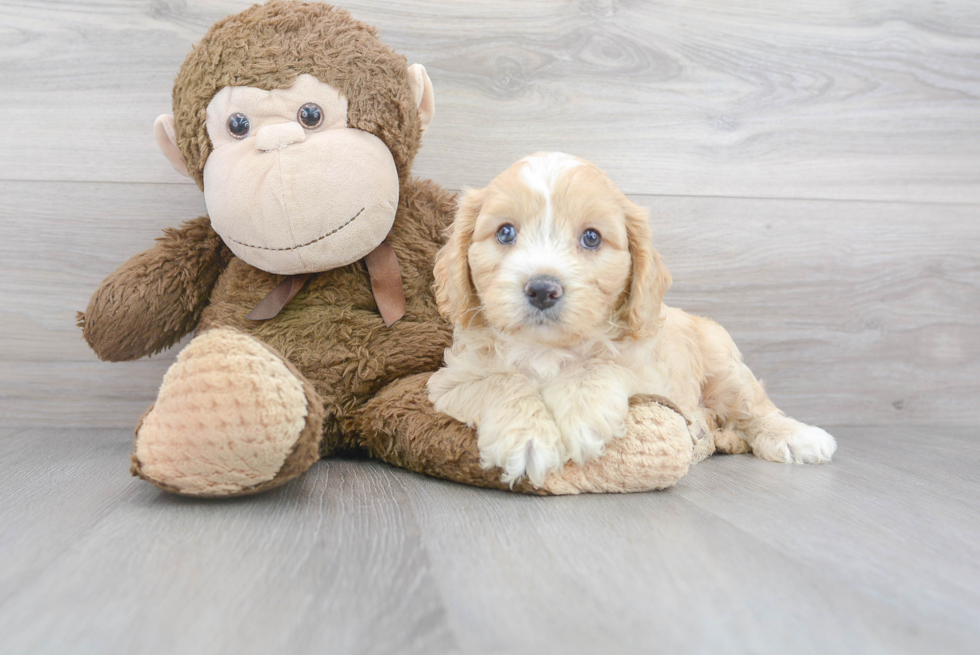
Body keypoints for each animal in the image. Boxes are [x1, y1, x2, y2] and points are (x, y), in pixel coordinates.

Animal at [426, 151, 836, 484]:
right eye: (505, 232)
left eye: (592, 238)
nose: (543, 289)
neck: (547, 349)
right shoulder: (448, 383)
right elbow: (499, 382)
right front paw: (526, 438)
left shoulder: (653, 375)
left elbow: (601, 366)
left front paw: (582, 414)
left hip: (725, 369)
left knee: (753, 407)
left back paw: (798, 437)